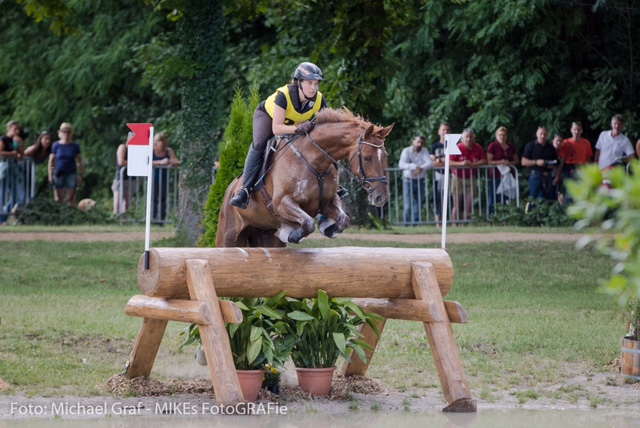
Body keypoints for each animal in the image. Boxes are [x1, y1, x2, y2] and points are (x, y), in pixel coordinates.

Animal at [218, 107, 392, 247]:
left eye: (385, 156)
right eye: (367, 158)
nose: (381, 197)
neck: (315, 161)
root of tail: (228, 190)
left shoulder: (327, 202)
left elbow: (343, 220)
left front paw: (329, 228)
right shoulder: (282, 203)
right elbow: (308, 223)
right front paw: (293, 234)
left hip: (265, 236)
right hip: (228, 237)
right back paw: (241, 197)